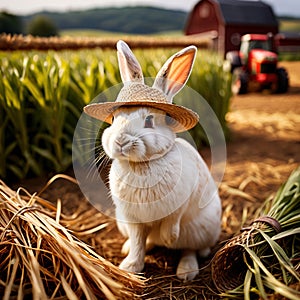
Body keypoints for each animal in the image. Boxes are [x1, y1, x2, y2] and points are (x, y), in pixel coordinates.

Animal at [83, 40, 221, 282]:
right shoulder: (133, 220)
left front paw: (168, 238)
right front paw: (130, 268)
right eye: (113, 118)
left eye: (148, 121)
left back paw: (186, 271)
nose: (121, 141)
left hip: (200, 229)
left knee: (190, 249)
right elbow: (139, 242)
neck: (141, 164)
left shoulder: (179, 204)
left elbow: (173, 221)